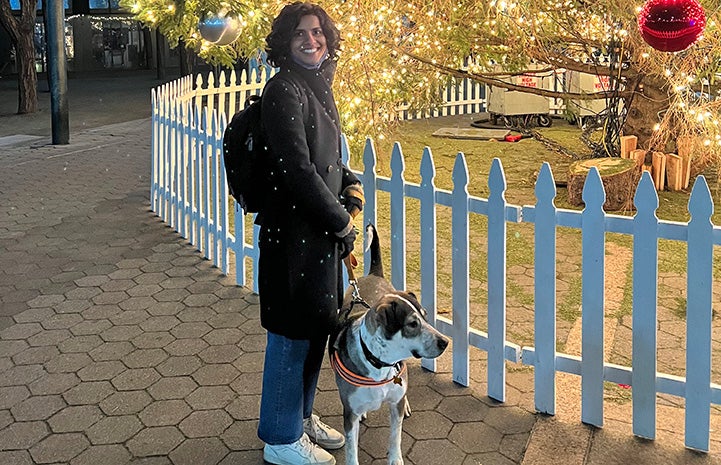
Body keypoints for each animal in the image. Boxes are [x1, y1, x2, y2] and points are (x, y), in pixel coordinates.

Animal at [330, 223, 448, 462]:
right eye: (412, 324)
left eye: (425, 316)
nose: (445, 342)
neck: (378, 362)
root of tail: (373, 274)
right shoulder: (350, 413)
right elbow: (351, 450)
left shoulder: (395, 405)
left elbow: (396, 436)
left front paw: (395, 459)